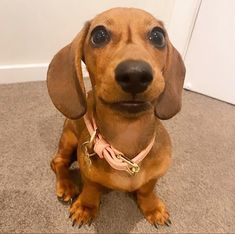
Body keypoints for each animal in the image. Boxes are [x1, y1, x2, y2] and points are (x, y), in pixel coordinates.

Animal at [46, 7, 185, 229]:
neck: (127, 136)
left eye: (158, 36)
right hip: (69, 138)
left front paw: (153, 208)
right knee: (58, 162)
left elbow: (147, 189)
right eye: (99, 35)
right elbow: (91, 187)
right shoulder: (88, 172)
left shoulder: (154, 175)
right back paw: (66, 185)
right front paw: (86, 207)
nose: (135, 75)